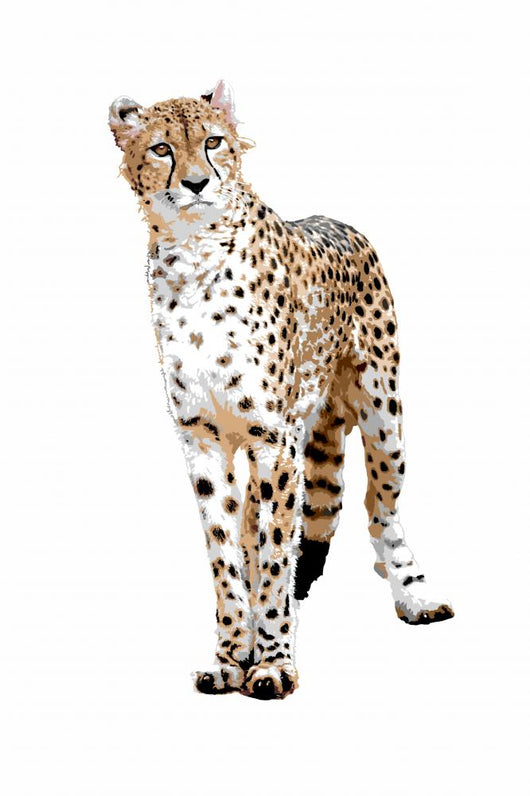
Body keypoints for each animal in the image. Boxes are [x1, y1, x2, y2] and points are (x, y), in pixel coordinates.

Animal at [108, 80, 454, 700]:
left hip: (384, 420)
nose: (196, 183)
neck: (194, 255)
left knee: (380, 508)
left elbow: (274, 557)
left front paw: (272, 664)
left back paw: (416, 596)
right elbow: (227, 553)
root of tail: (338, 220)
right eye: (162, 149)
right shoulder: (204, 442)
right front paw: (230, 658)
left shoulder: (275, 441)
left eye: (213, 141)